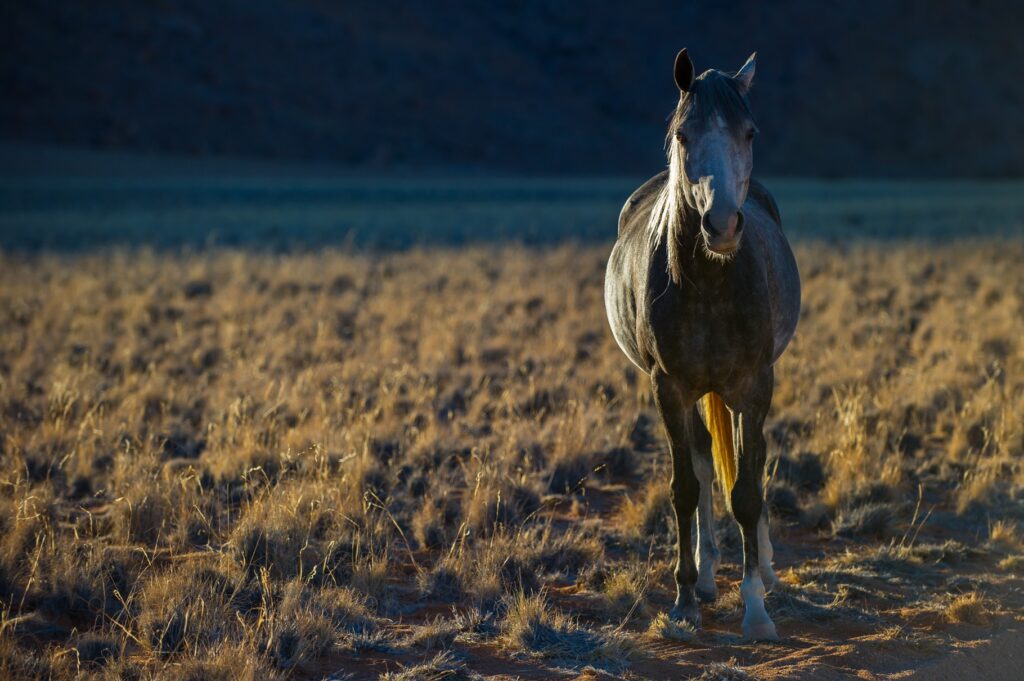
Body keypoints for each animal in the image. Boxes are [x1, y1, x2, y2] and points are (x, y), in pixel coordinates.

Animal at [604, 49, 801, 640]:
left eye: (749, 132)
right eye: (683, 135)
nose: (722, 225)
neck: (711, 284)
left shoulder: (754, 386)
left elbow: (749, 491)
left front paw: (756, 605)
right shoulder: (669, 388)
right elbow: (686, 487)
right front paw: (685, 597)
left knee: (746, 463)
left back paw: (766, 571)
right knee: (703, 459)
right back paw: (709, 573)